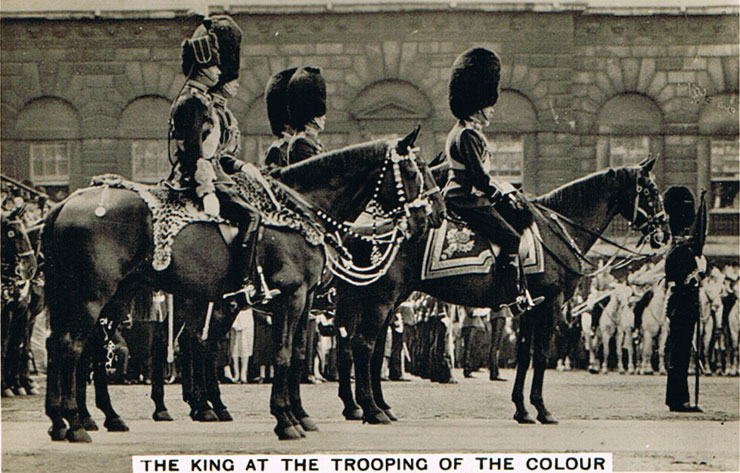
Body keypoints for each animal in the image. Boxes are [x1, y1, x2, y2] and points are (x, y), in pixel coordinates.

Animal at [43, 128, 436, 438]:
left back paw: (73, 420)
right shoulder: (297, 298)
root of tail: (66, 203)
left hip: (115, 294)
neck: (297, 212)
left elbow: (298, 354)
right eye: (413, 170)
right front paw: (288, 420)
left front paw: (300, 415)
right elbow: (292, 353)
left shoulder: (307, 301)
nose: (431, 218)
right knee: (77, 346)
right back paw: (80, 423)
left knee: (75, 345)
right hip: (96, 295)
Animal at [336, 156, 672, 424]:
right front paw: (542, 410)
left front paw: (522, 409)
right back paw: (371, 409)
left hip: (377, 298)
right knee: (364, 344)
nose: (664, 233)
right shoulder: (550, 304)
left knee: (361, 345)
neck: (556, 232)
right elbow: (540, 354)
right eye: (651, 191)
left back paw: (370, 406)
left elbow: (524, 355)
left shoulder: (529, 307)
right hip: (382, 298)